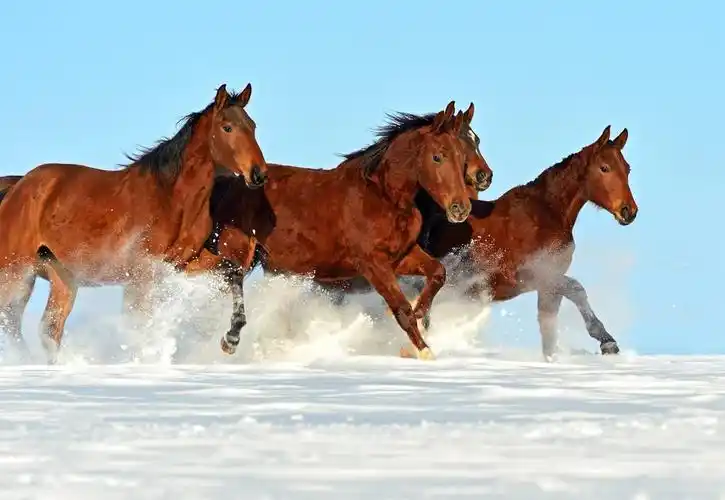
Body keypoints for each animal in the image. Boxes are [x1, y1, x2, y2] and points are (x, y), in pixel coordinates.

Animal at [0, 83, 269, 363]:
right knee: (13, 320)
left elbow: (233, 271)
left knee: (49, 329)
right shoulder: (141, 272)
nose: (258, 174)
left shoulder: (183, 264)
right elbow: (137, 322)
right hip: (15, 271)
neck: (171, 199)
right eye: (227, 127)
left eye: (252, 126)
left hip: (61, 279)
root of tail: (16, 187)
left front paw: (231, 339)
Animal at [140, 101, 478, 361]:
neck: (382, 197)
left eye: (462, 156)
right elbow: (400, 309)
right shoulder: (373, 264)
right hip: (234, 253)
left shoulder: (402, 256)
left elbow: (438, 274)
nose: (460, 208)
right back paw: (225, 340)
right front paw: (424, 351)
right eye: (437, 156)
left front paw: (423, 317)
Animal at [399, 125, 638, 359]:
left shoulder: (548, 285)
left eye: (627, 169)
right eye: (605, 168)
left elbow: (548, 331)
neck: (545, 216)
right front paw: (607, 342)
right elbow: (576, 289)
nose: (629, 211)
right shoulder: (532, 275)